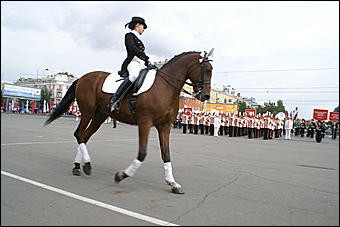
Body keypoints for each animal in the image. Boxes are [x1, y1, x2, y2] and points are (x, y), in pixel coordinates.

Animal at [43, 50, 211, 194]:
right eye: (207, 70)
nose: (206, 96)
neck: (164, 87)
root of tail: (83, 77)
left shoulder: (164, 126)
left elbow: (166, 154)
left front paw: (173, 183)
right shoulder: (145, 123)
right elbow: (142, 154)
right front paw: (122, 175)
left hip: (99, 116)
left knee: (84, 136)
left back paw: (79, 166)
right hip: (87, 112)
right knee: (79, 134)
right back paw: (86, 165)